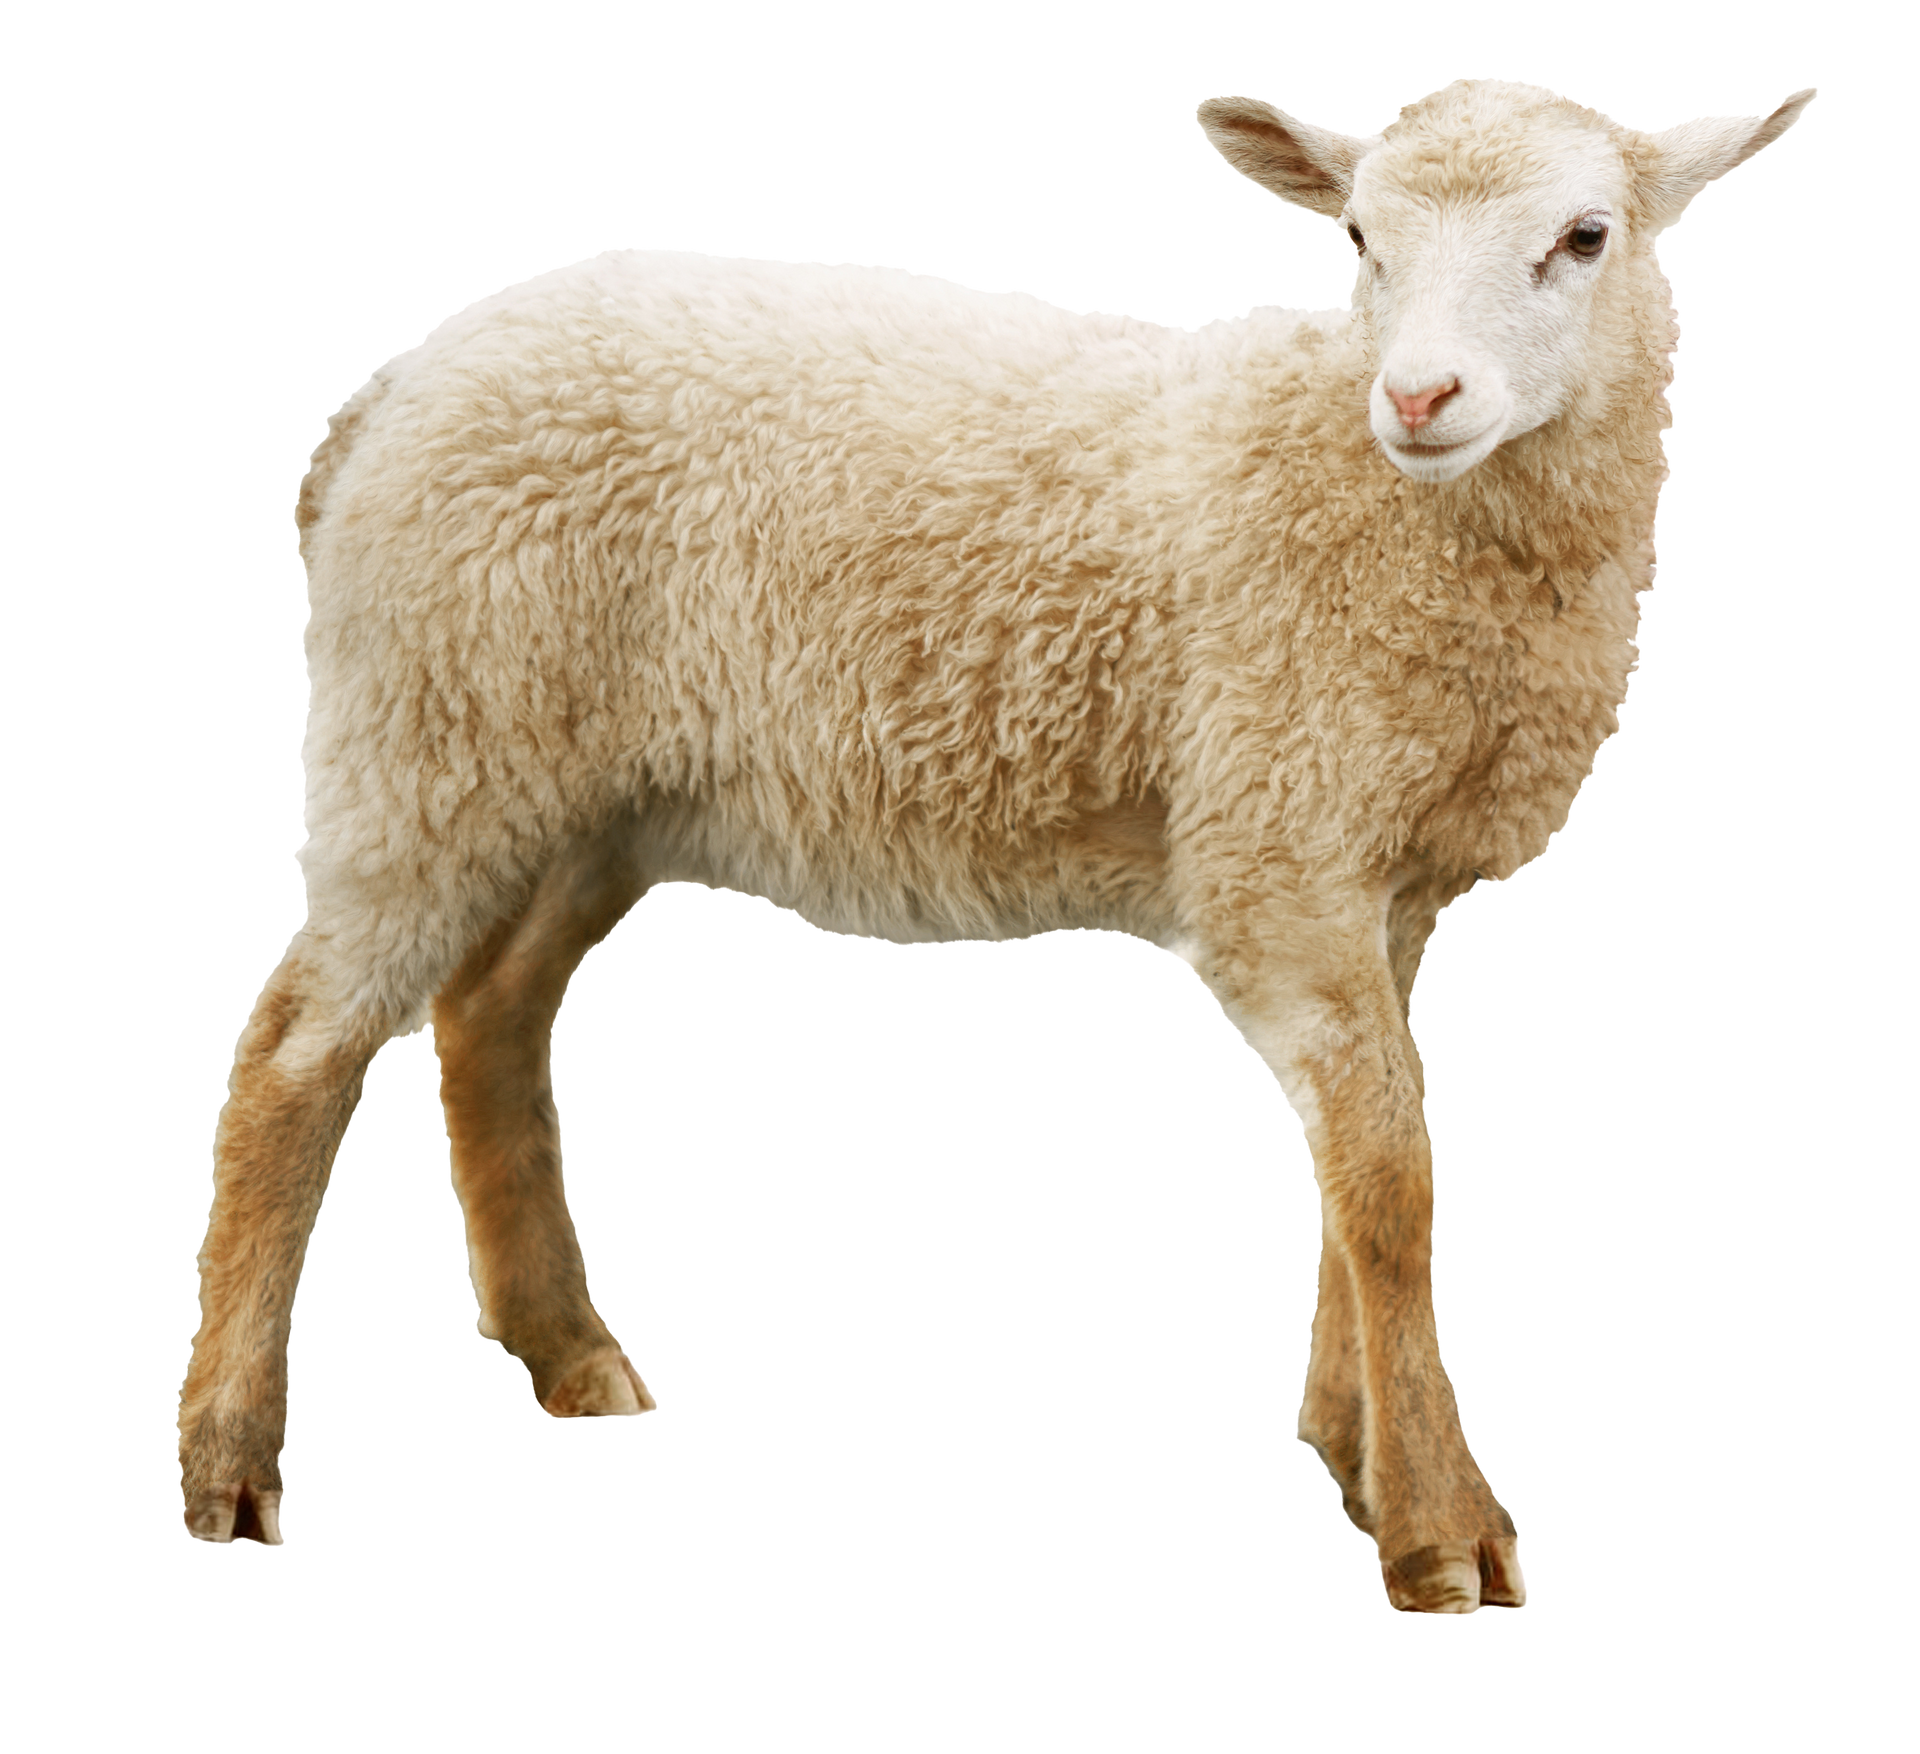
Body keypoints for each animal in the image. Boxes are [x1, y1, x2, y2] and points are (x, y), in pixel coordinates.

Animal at [177, 74, 1817, 1613]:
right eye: (1358, 240)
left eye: (1586, 238)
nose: (1419, 397)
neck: (1367, 498)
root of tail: (378, 401)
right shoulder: (1278, 838)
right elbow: (1396, 1183)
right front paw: (1438, 1529)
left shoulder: (1377, 869)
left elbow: (1360, 1175)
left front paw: (1349, 1447)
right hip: (432, 725)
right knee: (296, 1052)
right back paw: (230, 1461)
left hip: (582, 776)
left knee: (493, 1011)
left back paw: (568, 1352)